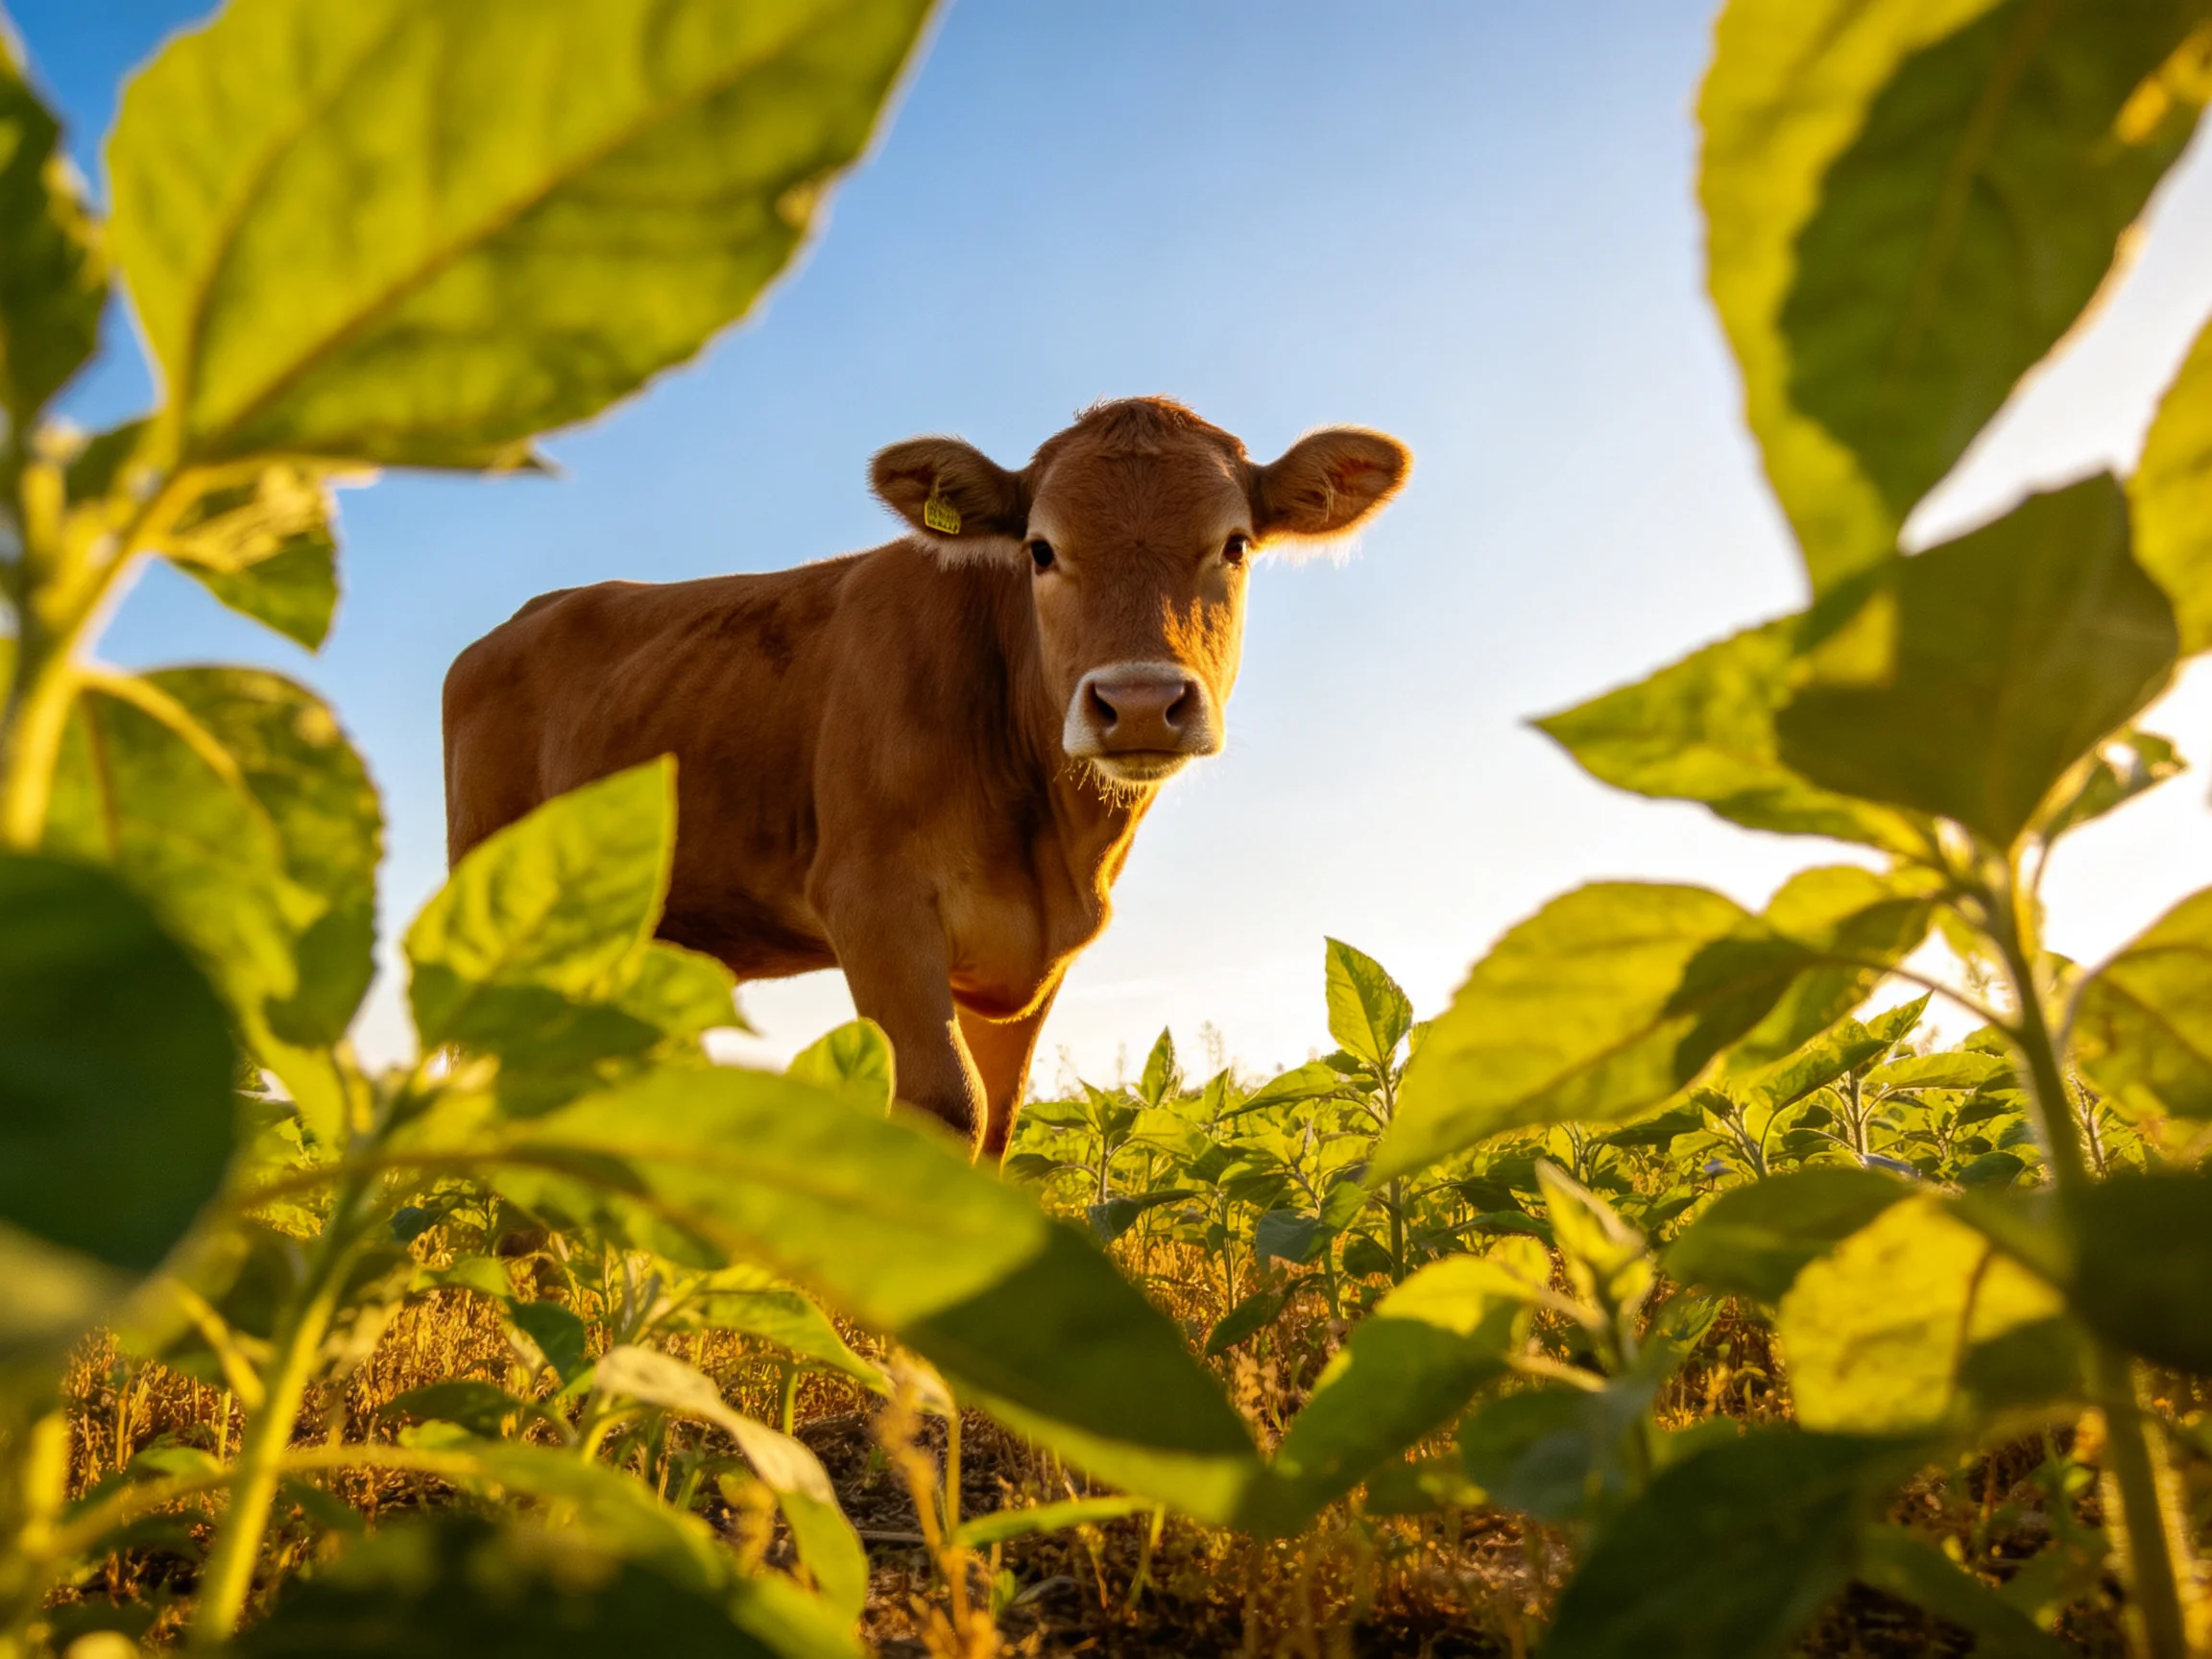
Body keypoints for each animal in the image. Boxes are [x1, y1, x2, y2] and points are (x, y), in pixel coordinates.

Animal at [443, 397, 1410, 1157]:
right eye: (1041, 549)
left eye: (1236, 545)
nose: (1138, 702)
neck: (1051, 842)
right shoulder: (872, 903)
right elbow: (947, 1106)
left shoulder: (1035, 961)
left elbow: (999, 1121)